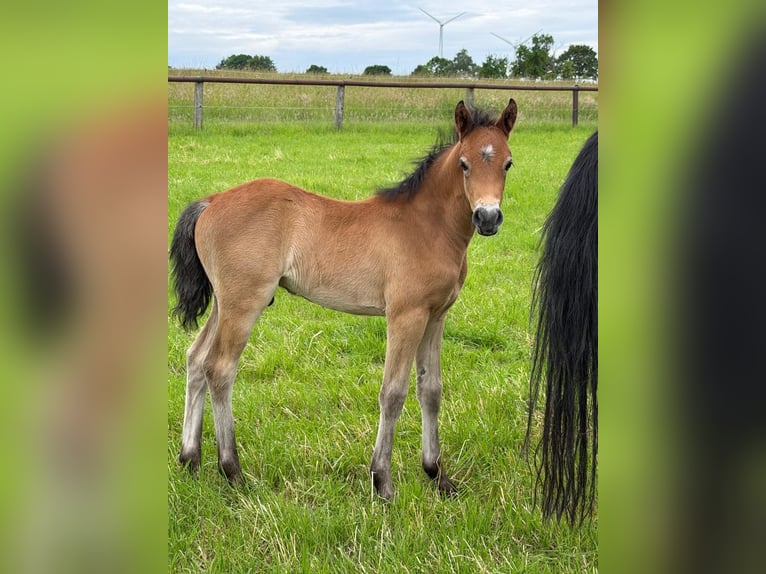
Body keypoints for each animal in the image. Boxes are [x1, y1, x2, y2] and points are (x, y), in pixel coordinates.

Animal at [169, 99, 518, 499]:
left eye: (508, 163)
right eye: (464, 163)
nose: (487, 217)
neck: (427, 227)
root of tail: (211, 201)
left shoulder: (436, 315)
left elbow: (431, 389)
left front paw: (438, 476)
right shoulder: (406, 315)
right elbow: (393, 392)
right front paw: (382, 482)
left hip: (224, 303)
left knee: (196, 359)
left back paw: (190, 459)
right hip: (244, 303)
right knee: (220, 368)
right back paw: (232, 471)